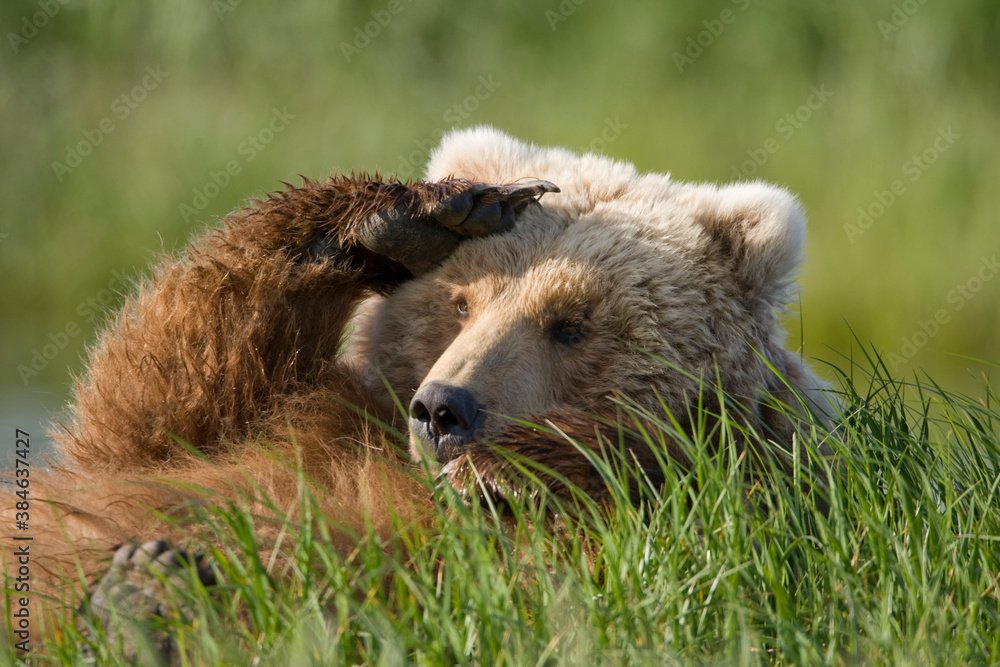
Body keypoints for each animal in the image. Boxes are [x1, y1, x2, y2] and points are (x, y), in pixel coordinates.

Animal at [3, 126, 829, 656]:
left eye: (571, 323)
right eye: (461, 302)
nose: (441, 409)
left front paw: (511, 471)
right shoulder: (285, 412)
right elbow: (155, 396)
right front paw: (418, 214)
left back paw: (143, 599)